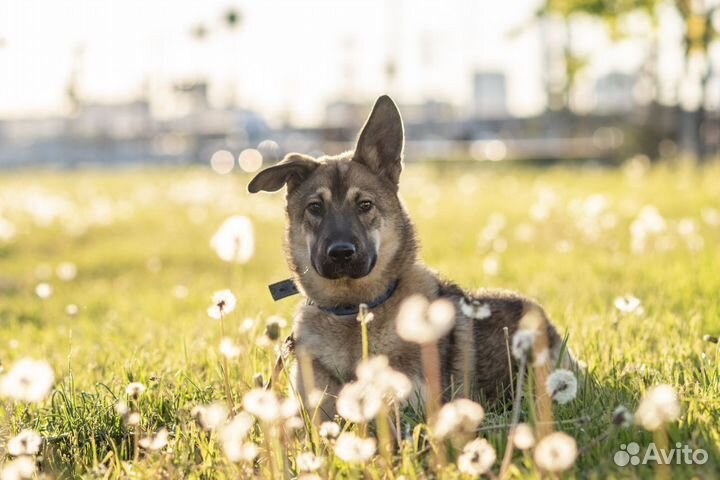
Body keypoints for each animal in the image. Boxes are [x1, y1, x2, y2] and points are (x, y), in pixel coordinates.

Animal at [250, 95, 572, 418]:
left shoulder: (410, 409)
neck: (353, 310)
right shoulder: (312, 412)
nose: (341, 253)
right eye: (315, 208)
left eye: (365, 204)